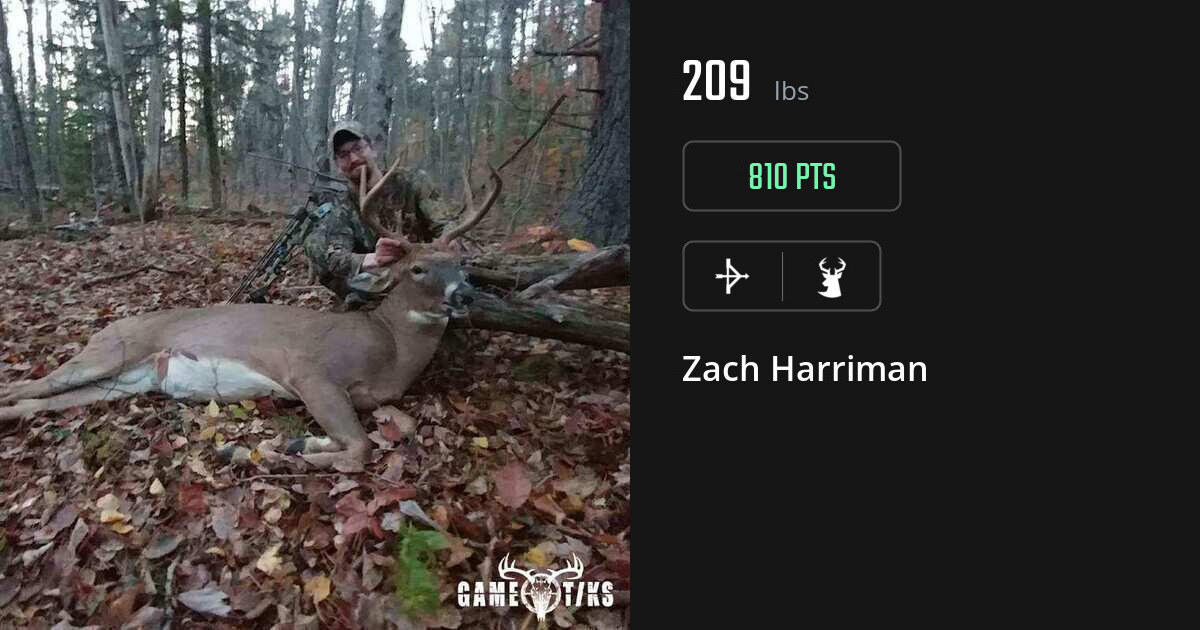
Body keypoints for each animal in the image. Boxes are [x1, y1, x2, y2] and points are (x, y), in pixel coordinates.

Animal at [0, 159, 502, 470]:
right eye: (417, 268)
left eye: (460, 263)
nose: (465, 294)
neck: (390, 350)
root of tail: (109, 325)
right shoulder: (311, 373)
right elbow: (358, 447)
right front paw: (284, 449)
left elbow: (385, 434)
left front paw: (299, 443)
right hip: (111, 351)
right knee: (25, 384)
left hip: (127, 381)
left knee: (40, 401)